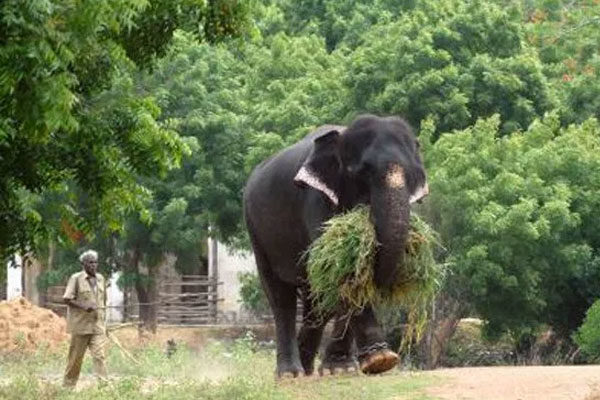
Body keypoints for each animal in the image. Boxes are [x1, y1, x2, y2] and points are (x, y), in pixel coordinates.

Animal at [241, 114, 428, 376]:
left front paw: (343, 370)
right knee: (280, 296)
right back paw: (290, 374)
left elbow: (349, 278)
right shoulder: (315, 199)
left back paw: (307, 365)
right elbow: (341, 269)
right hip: (256, 229)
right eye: (363, 172)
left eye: (413, 176)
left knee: (316, 302)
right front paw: (382, 360)